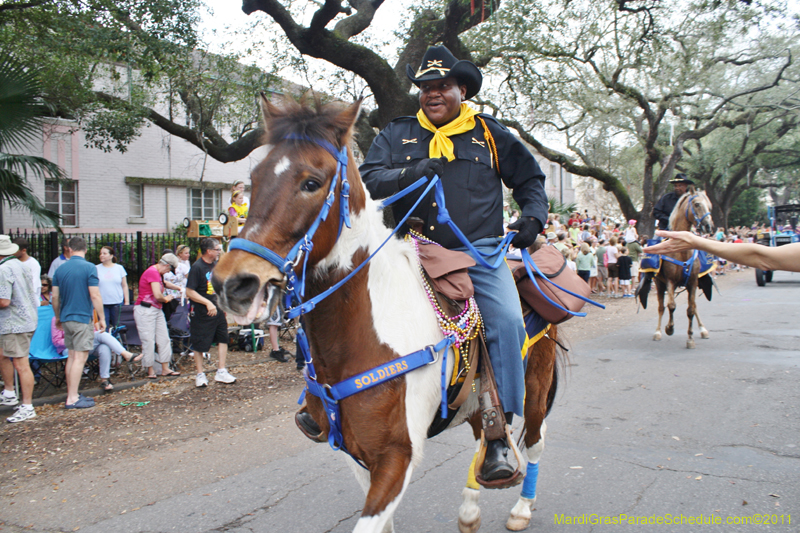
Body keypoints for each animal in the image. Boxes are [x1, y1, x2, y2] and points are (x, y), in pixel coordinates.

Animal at [212, 96, 564, 532]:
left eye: (311, 182)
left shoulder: (397, 457)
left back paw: (521, 507)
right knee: (484, 431)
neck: (362, 335)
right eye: (255, 177)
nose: (232, 283)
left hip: (535, 382)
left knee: (534, 439)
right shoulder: (356, 452)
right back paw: (470, 506)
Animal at [652, 189, 716, 348]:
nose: (708, 226)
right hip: (659, 283)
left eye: (710, 205)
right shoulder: (670, 281)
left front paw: (690, 338)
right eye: (697, 204)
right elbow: (671, 305)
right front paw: (669, 328)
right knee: (661, 307)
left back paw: (703, 330)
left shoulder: (692, 282)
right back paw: (657, 332)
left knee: (694, 306)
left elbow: (691, 309)